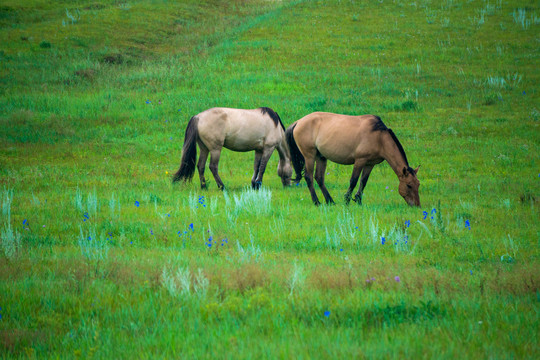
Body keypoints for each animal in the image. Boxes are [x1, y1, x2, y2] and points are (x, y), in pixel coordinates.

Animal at [284, 111, 420, 207]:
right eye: (409, 185)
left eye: (418, 184)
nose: (417, 205)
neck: (379, 137)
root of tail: (299, 122)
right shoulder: (360, 160)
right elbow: (354, 181)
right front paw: (347, 200)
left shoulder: (370, 164)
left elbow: (363, 181)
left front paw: (358, 200)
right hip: (309, 156)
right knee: (309, 177)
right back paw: (317, 202)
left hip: (321, 157)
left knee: (319, 178)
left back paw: (330, 201)